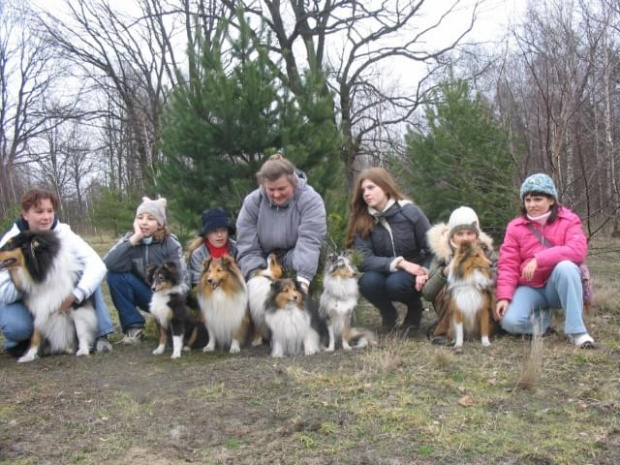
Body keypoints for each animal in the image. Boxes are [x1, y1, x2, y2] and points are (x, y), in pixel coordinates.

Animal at [0, 231, 97, 362]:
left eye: (9, 245)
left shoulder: (75, 303)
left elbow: (80, 329)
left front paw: (83, 350)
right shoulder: (39, 307)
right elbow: (35, 334)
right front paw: (29, 356)